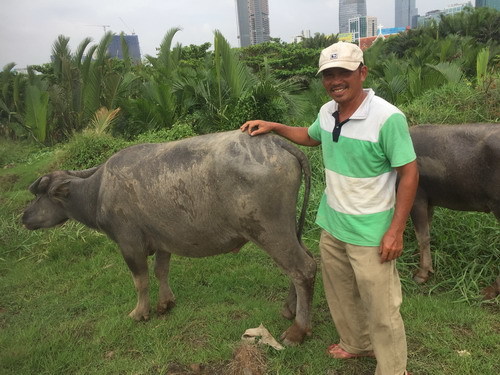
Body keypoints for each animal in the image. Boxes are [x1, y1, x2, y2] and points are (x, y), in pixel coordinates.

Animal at [22, 130, 316, 346]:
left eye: (41, 195)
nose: (24, 216)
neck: (98, 192)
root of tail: (276, 141)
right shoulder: (163, 241)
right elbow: (161, 271)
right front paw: (165, 303)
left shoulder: (129, 245)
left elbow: (140, 280)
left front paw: (140, 313)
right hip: (288, 228)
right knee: (303, 262)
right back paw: (289, 309)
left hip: (269, 231)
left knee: (302, 269)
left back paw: (297, 331)